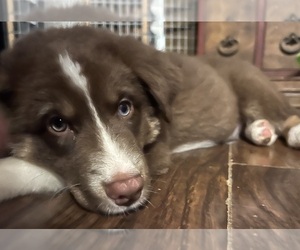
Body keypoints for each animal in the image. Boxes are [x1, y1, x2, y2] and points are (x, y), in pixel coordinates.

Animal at [0, 25, 300, 215]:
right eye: (58, 124)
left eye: (125, 108)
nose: (127, 192)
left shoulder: (153, 152)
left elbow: (33, 169)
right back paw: (261, 130)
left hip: (251, 83)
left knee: (281, 111)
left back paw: (290, 130)